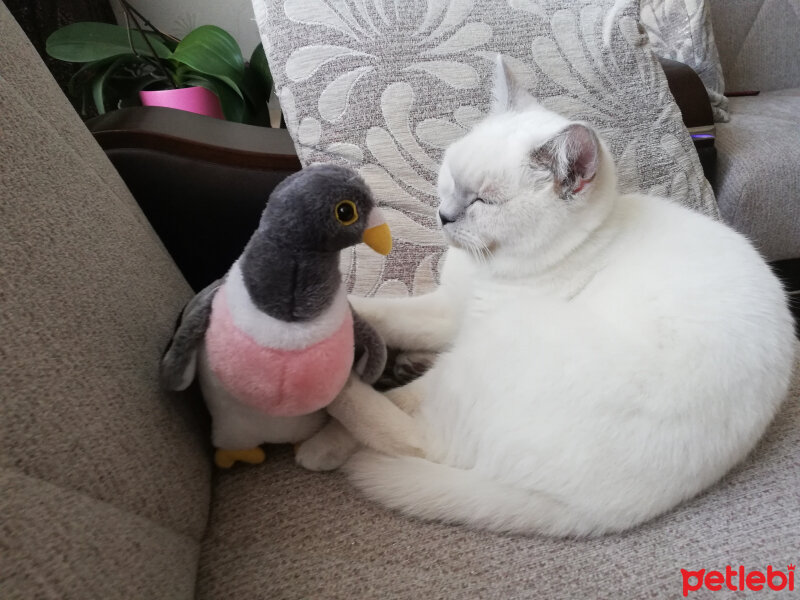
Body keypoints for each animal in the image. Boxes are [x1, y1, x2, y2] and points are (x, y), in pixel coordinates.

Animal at [304, 56, 792, 536]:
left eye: (482, 201)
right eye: (450, 177)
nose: (444, 216)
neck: (489, 266)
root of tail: (596, 512)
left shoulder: (470, 324)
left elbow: (402, 394)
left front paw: (325, 431)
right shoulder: (450, 310)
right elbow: (387, 313)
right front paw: (351, 314)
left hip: (487, 350)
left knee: (416, 435)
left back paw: (332, 407)